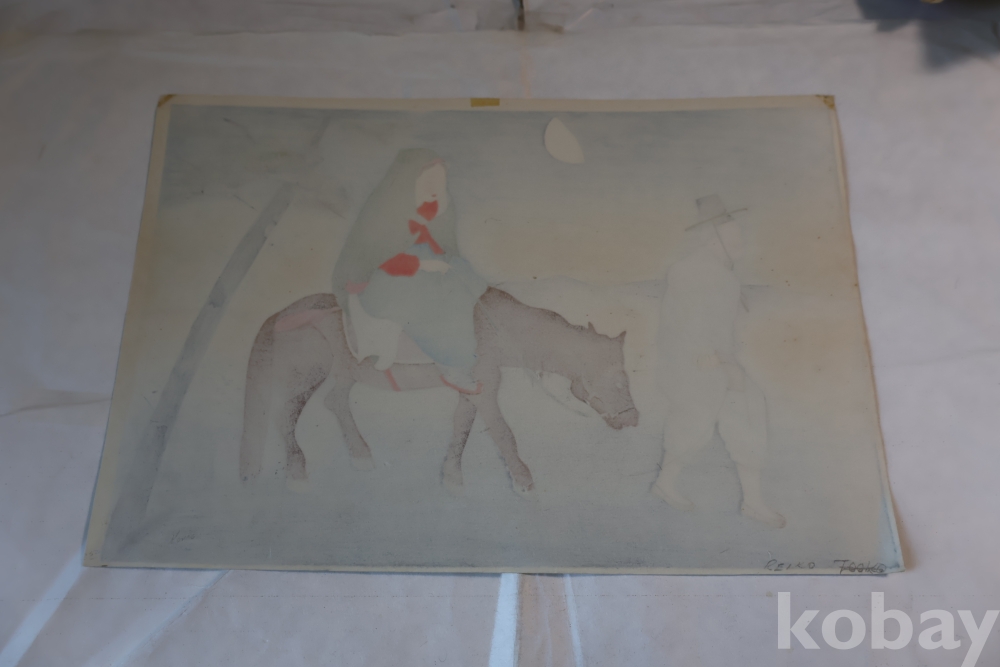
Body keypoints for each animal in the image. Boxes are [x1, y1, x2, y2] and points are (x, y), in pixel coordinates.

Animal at [239, 287, 639, 494]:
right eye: (620, 380)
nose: (633, 420)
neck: (493, 327)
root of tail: (282, 313)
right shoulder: (483, 391)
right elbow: (503, 433)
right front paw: (523, 481)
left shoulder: (471, 390)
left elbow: (461, 428)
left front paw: (451, 477)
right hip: (307, 374)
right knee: (284, 415)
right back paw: (297, 473)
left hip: (344, 373)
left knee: (334, 403)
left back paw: (361, 456)